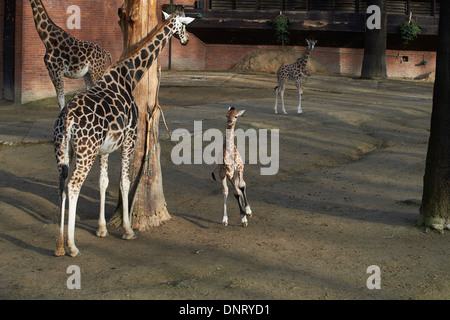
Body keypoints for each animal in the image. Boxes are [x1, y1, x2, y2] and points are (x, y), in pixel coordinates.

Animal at [52, 11, 193, 258]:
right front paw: (128, 230)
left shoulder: (105, 148)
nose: (185, 40)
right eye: (184, 26)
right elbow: (124, 182)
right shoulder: (129, 138)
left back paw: (60, 246)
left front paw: (101, 229)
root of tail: (67, 118)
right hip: (85, 151)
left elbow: (103, 182)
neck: (129, 75)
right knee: (73, 185)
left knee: (62, 184)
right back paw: (72, 246)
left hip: (64, 149)